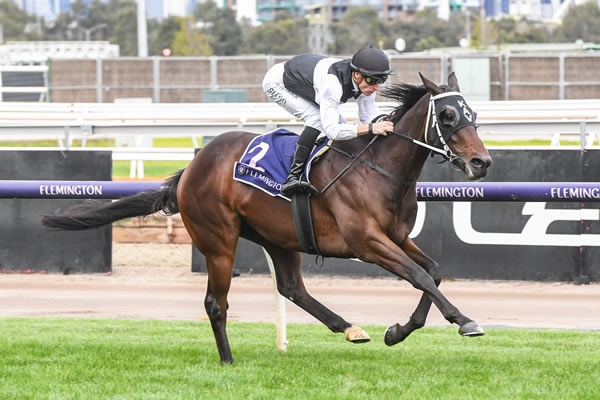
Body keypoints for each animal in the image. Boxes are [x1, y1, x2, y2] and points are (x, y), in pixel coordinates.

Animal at [42, 72, 492, 366]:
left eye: (471, 112)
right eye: (448, 116)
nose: (482, 162)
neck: (379, 169)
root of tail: (191, 168)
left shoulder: (396, 237)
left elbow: (433, 271)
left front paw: (399, 330)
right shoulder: (366, 242)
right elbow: (418, 276)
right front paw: (465, 321)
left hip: (279, 237)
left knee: (292, 288)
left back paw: (350, 328)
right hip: (218, 239)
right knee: (216, 302)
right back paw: (227, 361)